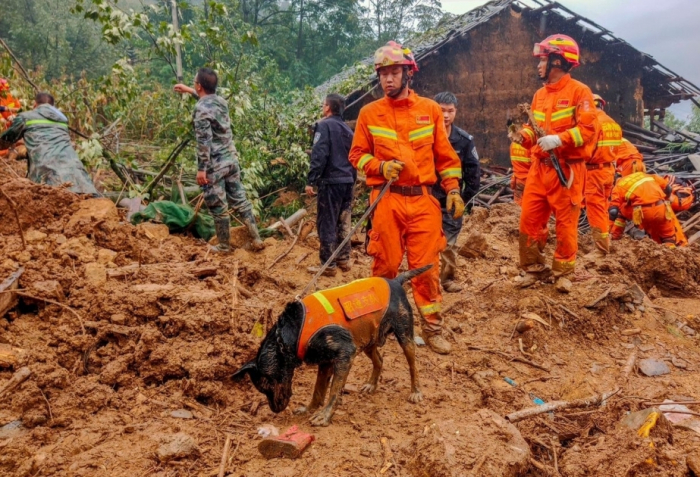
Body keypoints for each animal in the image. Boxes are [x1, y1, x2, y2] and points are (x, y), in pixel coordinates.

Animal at [232, 266, 430, 426]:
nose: (274, 409)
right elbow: (318, 390)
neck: (292, 332)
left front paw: (325, 416)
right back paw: (371, 384)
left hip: (403, 334)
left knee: (413, 365)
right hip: (368, 337)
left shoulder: (345, 355)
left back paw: (416, 391)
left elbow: (334, 391)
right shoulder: (325, 362)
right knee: (379, 360)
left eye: (266, 387)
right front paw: (310, 409)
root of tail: (395, 281)